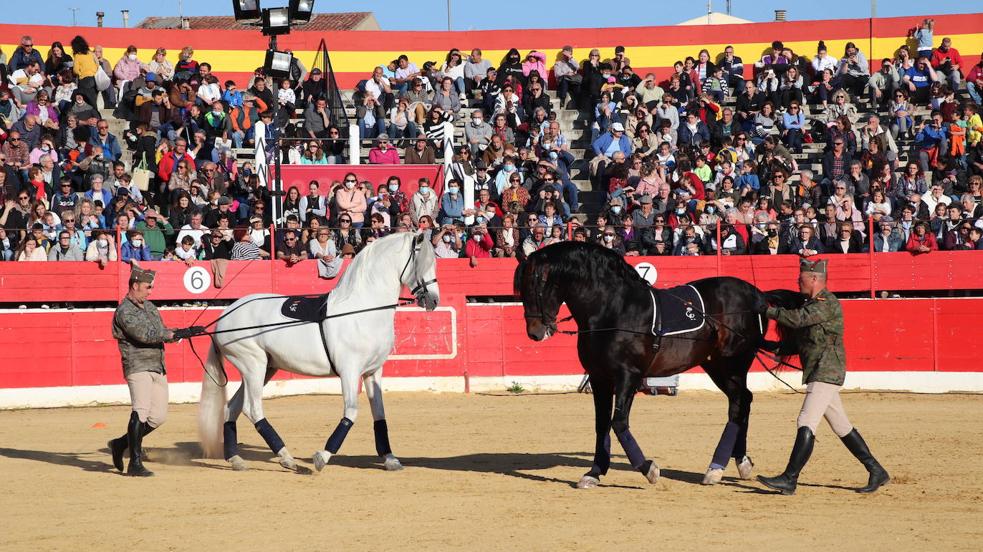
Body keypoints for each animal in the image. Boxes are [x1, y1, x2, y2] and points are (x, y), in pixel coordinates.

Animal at [198, 231, 440, 472]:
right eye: (423, 262)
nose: (433, 300)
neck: (361, 309)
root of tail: (225, 315)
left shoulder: (373, 372)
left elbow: (379, 414)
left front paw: (390, 459)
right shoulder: (350, 372)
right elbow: (351, 412)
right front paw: (322, 457)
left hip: (265, 368)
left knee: (232, 407)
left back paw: (236, 459)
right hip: (253, 365)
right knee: (252, 408)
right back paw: (286, 458)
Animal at [520, 242, 788, 488]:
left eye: (537, 286)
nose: (534, 333)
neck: (613, 309)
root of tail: (758, 296)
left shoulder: (628, 376)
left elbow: (618, 422)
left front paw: (648, 468)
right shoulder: (599, 378)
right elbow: (601, 424)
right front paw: (594, 473)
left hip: (734, 364)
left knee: (739, 404)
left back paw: (717, 468)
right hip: (716, 366)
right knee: (742, 400)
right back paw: (738, 463)